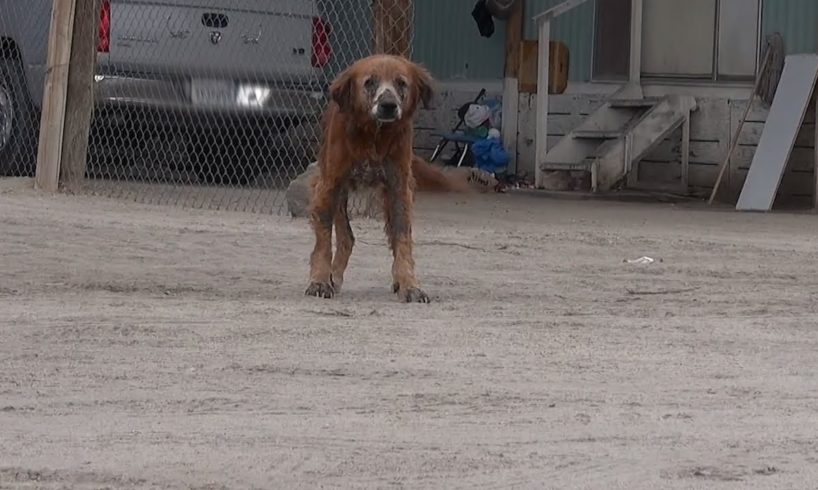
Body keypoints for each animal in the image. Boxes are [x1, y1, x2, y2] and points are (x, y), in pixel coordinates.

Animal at [306, 56, 446, 302]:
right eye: (369, 82)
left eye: (401, 83)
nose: (388, 105)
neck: (373, 136)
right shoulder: (330, 184)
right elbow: (324, 241)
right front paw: (321, 281)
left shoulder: (399, 187)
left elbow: (402, 238)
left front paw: (409, 284)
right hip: (339, 192)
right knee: (346, 238)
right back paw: (335, 276)